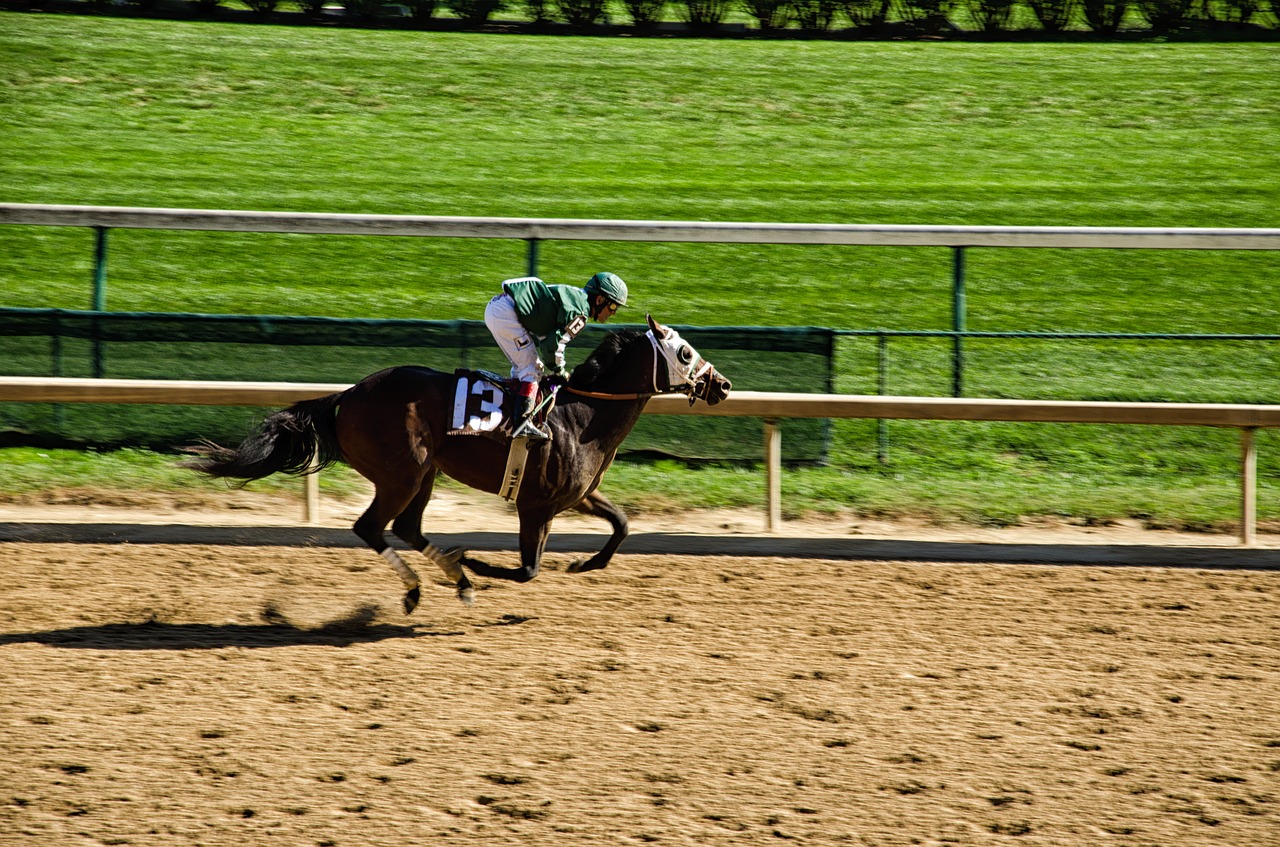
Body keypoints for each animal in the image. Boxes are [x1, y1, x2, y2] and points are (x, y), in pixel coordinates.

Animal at [185, 314, 737, 614]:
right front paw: (474, 559)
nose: (723, 385)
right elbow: (527, 571)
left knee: (404, 528)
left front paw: (585, 563)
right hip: (403, 472)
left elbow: (622, 524)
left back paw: (456, 581)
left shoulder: (577, 495)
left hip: (424, 474)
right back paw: (431, 584)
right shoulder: (535, 507)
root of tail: (348, 394)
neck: (583, 415)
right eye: (685, 353)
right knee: (371, 527)